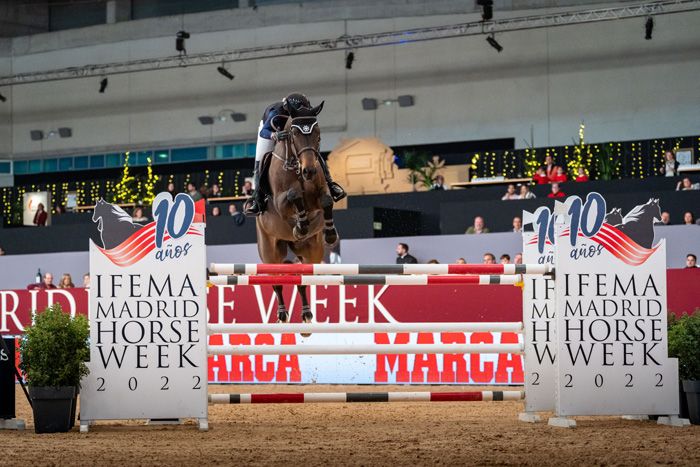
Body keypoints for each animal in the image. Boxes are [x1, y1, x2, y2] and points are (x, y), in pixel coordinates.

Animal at [258, 100, 340, 324]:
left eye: (317, 132)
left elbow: (326, 200)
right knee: (276, 281)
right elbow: (294, 195)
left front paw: (330, 234)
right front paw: (300, 226)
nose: (309, 171)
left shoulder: (319, 195)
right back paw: (282, 314)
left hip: (311, 251)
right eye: (294, 133)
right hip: (270, 251)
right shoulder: (280, 202)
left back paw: (306, 314)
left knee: (303, 280)